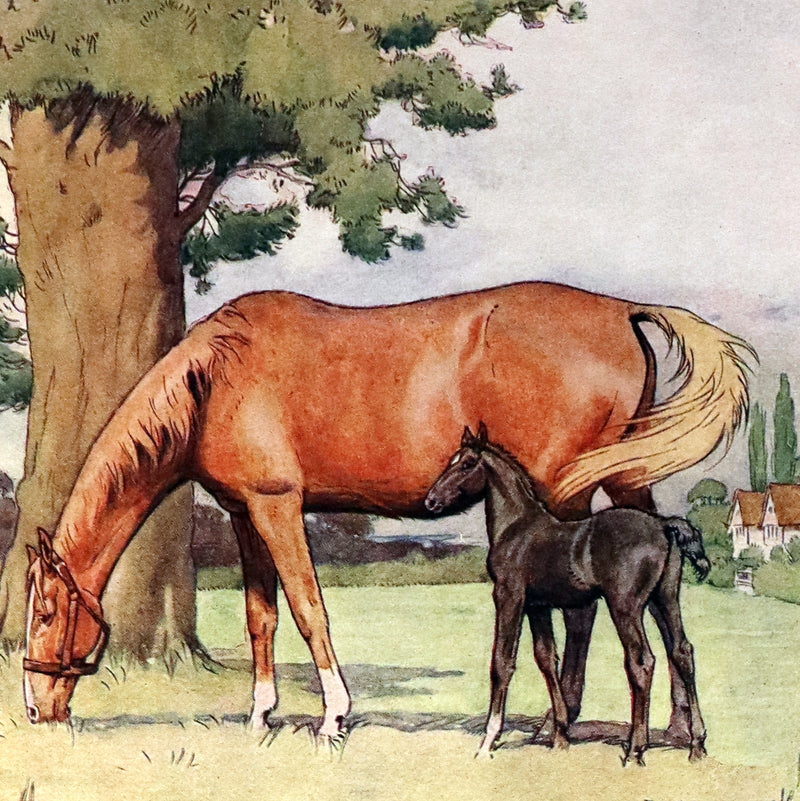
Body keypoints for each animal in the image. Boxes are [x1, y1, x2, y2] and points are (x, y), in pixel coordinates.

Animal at [424, 423, 710, 764]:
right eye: (450, 461)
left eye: (467, 464)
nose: (431, 501)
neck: (517, 528)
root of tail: (663, 525)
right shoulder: (538, 605)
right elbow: (547, 658)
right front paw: (560, 735)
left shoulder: (509, 596)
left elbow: (502, 662)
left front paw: (488, 741)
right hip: (665, 600)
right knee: (682, 652)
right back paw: (697, 745)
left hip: (625, 607)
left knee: (641, 662)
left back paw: (635, 750)